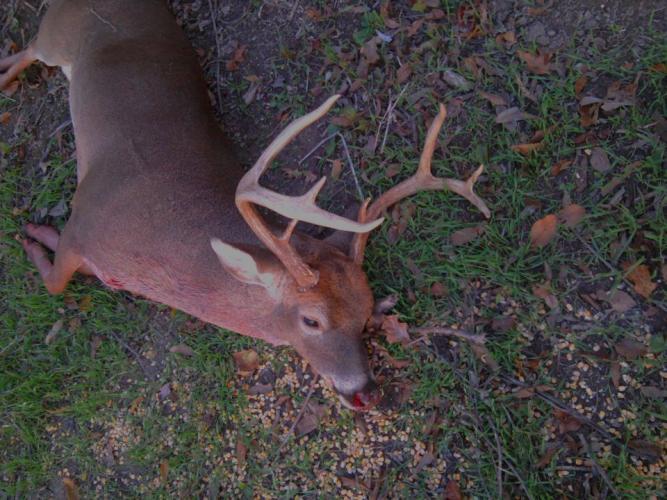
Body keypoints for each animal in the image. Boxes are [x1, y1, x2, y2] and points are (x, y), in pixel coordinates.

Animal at [1, 0, 490, 411]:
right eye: (311, 320)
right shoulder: (84, 221)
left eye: (367, 311)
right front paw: (32, 236)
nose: (366, 393)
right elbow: (54, 282)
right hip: (58, 33)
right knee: (30, 45)